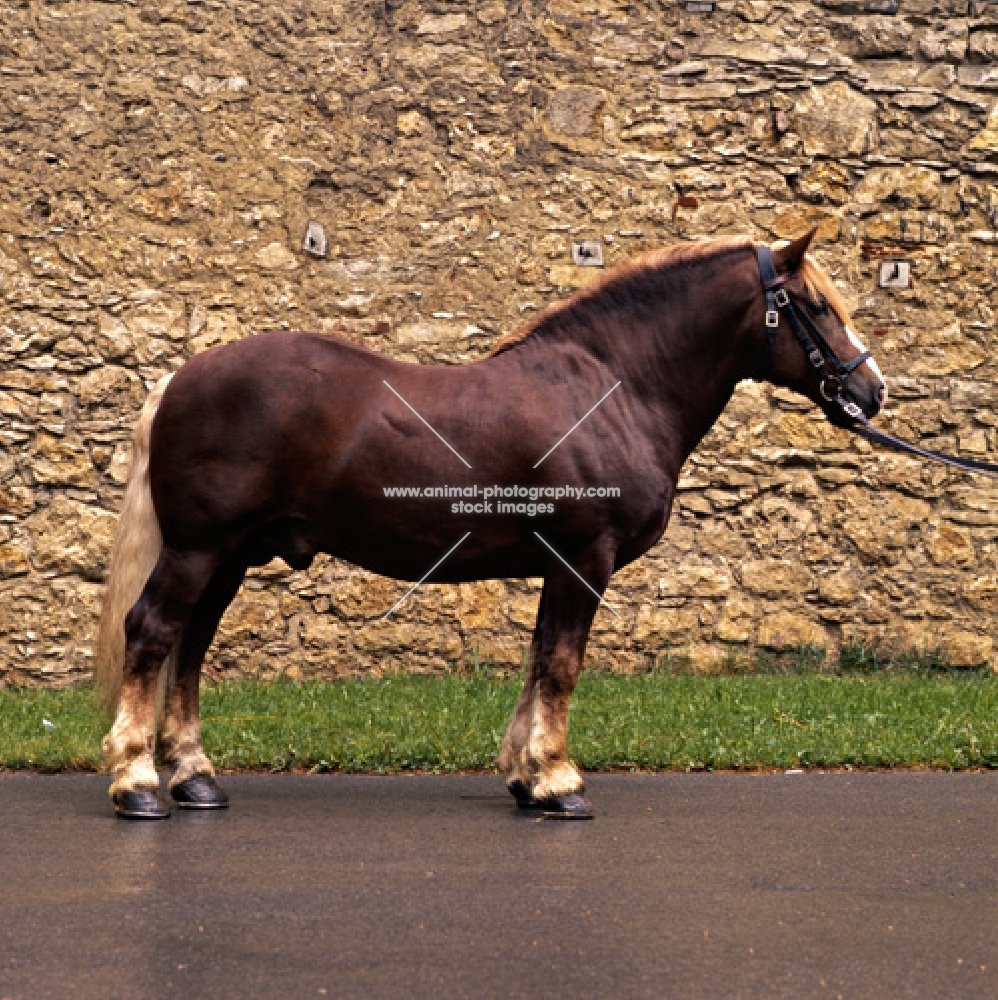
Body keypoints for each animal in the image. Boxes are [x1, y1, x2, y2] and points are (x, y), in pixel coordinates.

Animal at [94, 230, 888, 816]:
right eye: (816, 306)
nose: (872, 392)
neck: (611, 389)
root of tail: (181, 379)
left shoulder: (557, 563)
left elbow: (538, 660)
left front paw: (526, 777)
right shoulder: (584, 557)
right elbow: (562, 665)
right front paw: (559, 780)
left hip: (228, 555)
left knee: (191, 647)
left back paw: (196, 776)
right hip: (198, 549)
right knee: (154, 633)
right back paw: (138, 782)